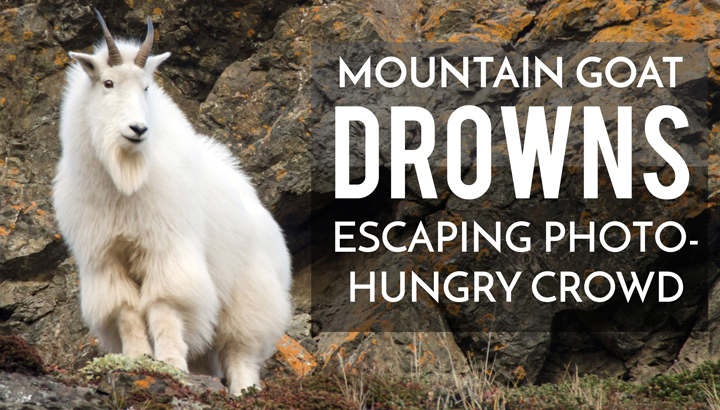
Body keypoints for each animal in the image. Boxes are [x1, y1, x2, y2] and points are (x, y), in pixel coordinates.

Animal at [52, 11, 292, 394]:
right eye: (108, 83)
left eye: (146, 87)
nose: (138, 129)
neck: (124, 182)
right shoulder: (105, 258)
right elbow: (126, 310)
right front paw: (137, 358)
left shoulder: (166, 248)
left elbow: (164, 306)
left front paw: (169, 362)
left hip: (249, 294)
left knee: (240, 351)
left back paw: (243, 391)